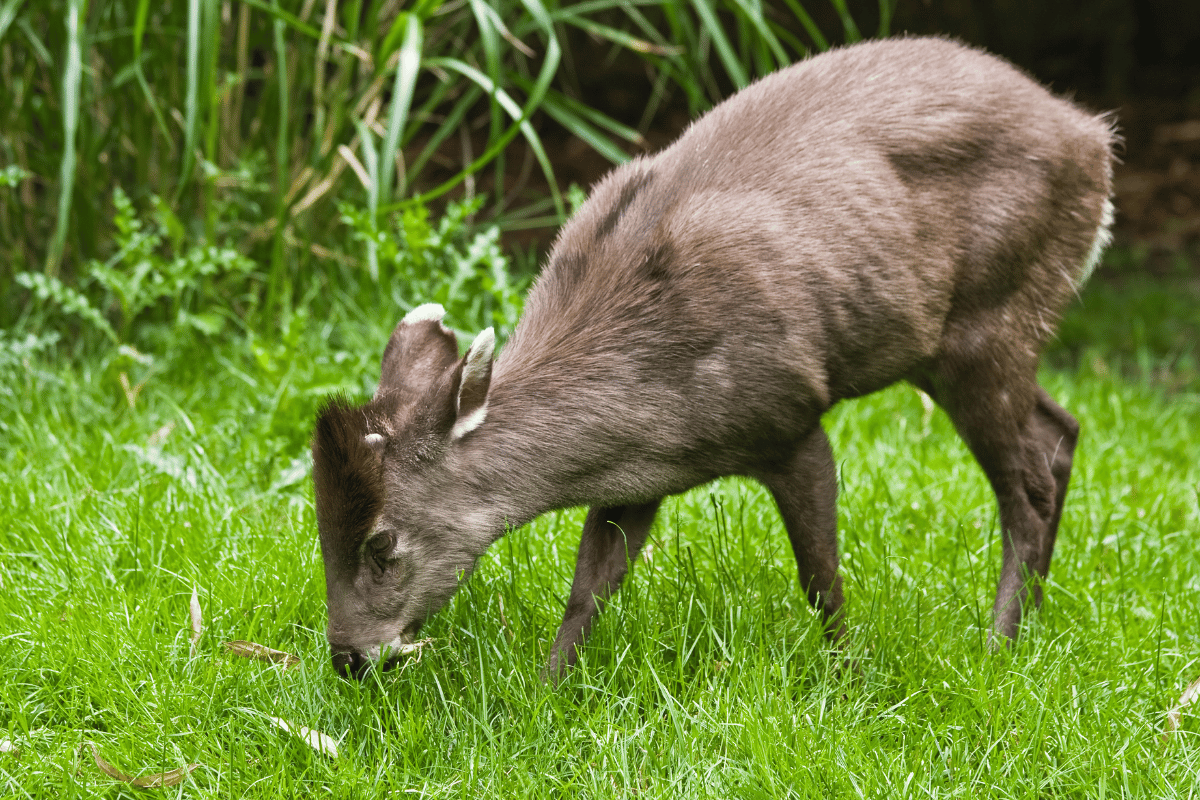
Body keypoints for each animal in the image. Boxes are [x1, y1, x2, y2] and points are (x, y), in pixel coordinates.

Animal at [309, 35, 1113, 676]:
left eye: (380, 542)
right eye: (320, 529)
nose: (349, 657)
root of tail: (1093, 137)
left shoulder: (788, 415)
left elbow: (819, 579)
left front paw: (849, 681)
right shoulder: (635, 477)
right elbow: (589, 588)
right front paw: (549, 692)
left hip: (991, 315)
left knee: (1027, 483)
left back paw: (999, 647)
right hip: (963, 341)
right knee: (1062, 429)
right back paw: (1030, 623)